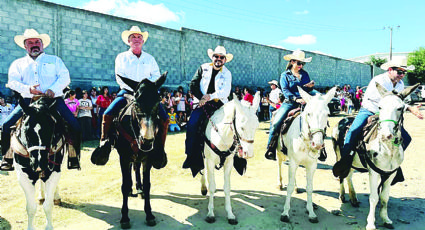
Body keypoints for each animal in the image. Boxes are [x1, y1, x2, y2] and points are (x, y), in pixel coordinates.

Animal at [11, 96, 66, 230]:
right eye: (26, 131)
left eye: (50, 129)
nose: (39, 163)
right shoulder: (23, 176)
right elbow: (30, 208)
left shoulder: (54, 171)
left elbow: (48, 205)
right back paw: (41, 195)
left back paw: (56, 196)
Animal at [97, 72, 167, 228]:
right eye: (136, 103)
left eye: (158, 102)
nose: (146, 140)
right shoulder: (123, 157)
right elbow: (124, 184)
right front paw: (124, 217)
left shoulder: (147, 158)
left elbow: (147, 185)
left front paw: (149, 214)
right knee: (130, 171)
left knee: (136, 168)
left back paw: (138, 187)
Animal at [200, 91, 262, 225]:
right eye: (242, 127)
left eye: (256, 126)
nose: (248, 153)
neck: (221, 135)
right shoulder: (210, 160)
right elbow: (212, 187)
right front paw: (210, 213)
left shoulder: (228, 162)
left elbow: (227, 188)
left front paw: (230, 214)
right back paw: (203, 187)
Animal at [276, 86, 336, 223]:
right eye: (309, 113)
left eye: (327, 114)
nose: (317, 144)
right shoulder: (293, 162)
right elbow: (289, 187)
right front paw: (285, 213)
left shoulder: (311, 165)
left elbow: (309, 187)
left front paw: (311, 212)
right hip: (279, 153)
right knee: (280, 165)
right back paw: (280, 183)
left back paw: (297, 187)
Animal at [332, 83, 418, 230]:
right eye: (380, 107)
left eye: (400, 108)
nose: (385, 135)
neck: (388, 150)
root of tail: (343, 120)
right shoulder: (373, 172)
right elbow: (374, 197)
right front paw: (371, 223)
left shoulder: (390, 174)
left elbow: (384, 197)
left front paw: (386, 219)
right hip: (339, 155)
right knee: (342, 175)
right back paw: (342, 195)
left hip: (353, 162)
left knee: (349, 176)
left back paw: (353, 198)